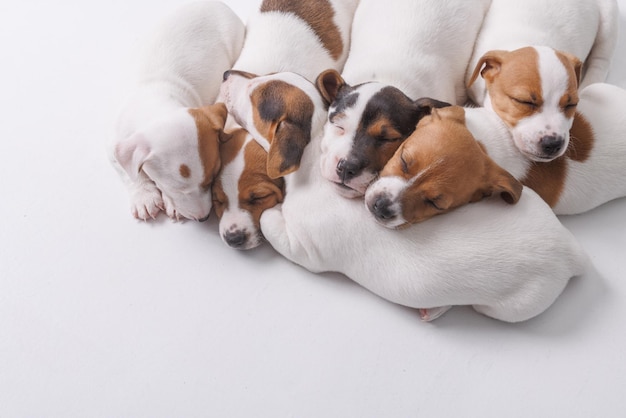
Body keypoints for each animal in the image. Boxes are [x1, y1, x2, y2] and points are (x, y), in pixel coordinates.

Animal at [108, 0, 243, 220]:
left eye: (212, 178)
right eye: (175, 188)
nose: (204, 218)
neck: (156, 102)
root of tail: (215, 3)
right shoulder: (114, 145)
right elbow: (129, 174)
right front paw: (144, 196)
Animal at [219, 68, 584, 324]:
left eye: (254, 96)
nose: (226, 74)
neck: (311, 160)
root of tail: (572, 251)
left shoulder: (304, 247)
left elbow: (271, 221)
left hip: (510, 307)